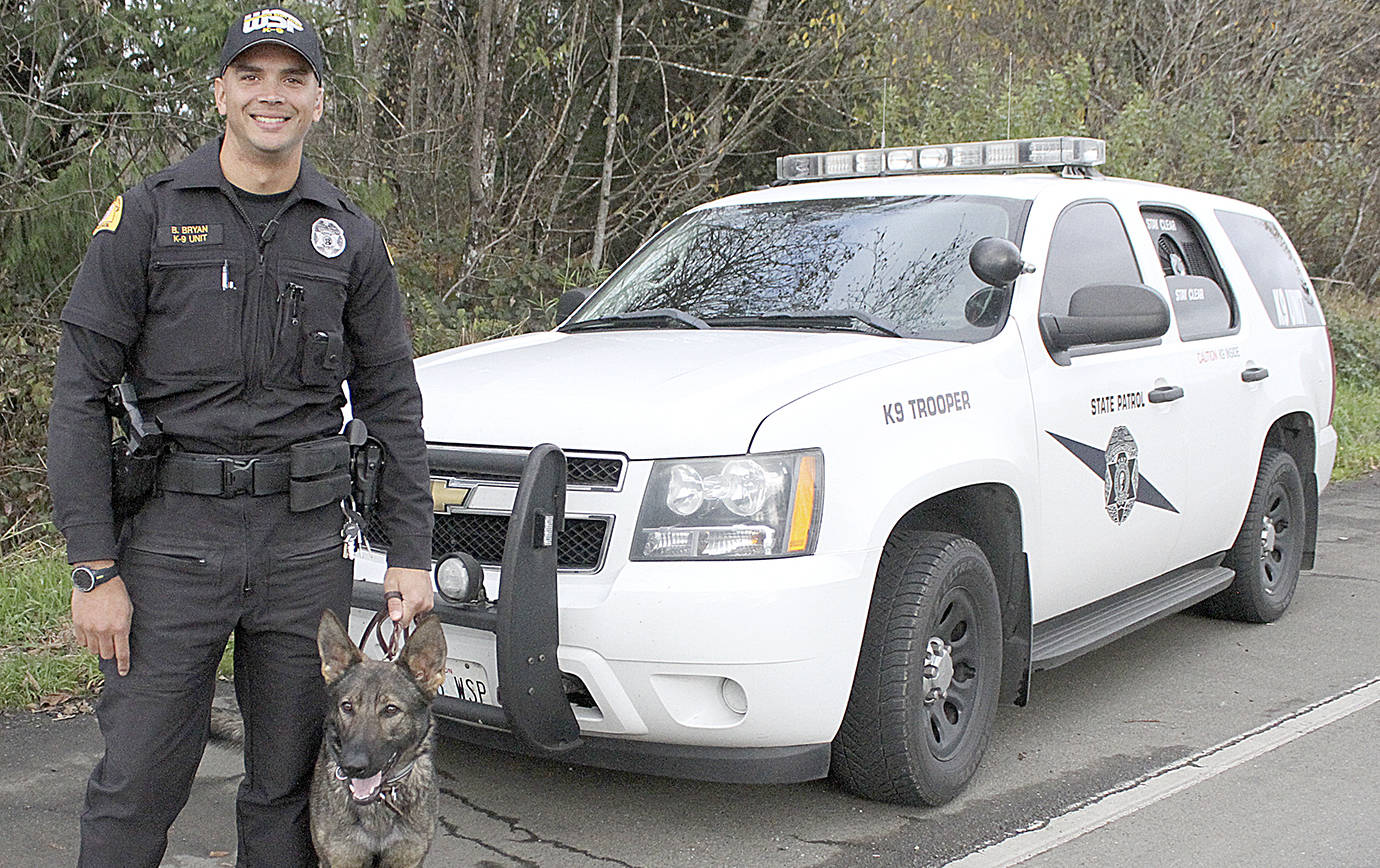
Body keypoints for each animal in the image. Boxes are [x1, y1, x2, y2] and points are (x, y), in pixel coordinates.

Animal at [311, 609, 447, 866]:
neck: (379, 802)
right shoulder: (340, 858)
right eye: (347, 706)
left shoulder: (408, 858)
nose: (352, 766)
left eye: (391, 710)